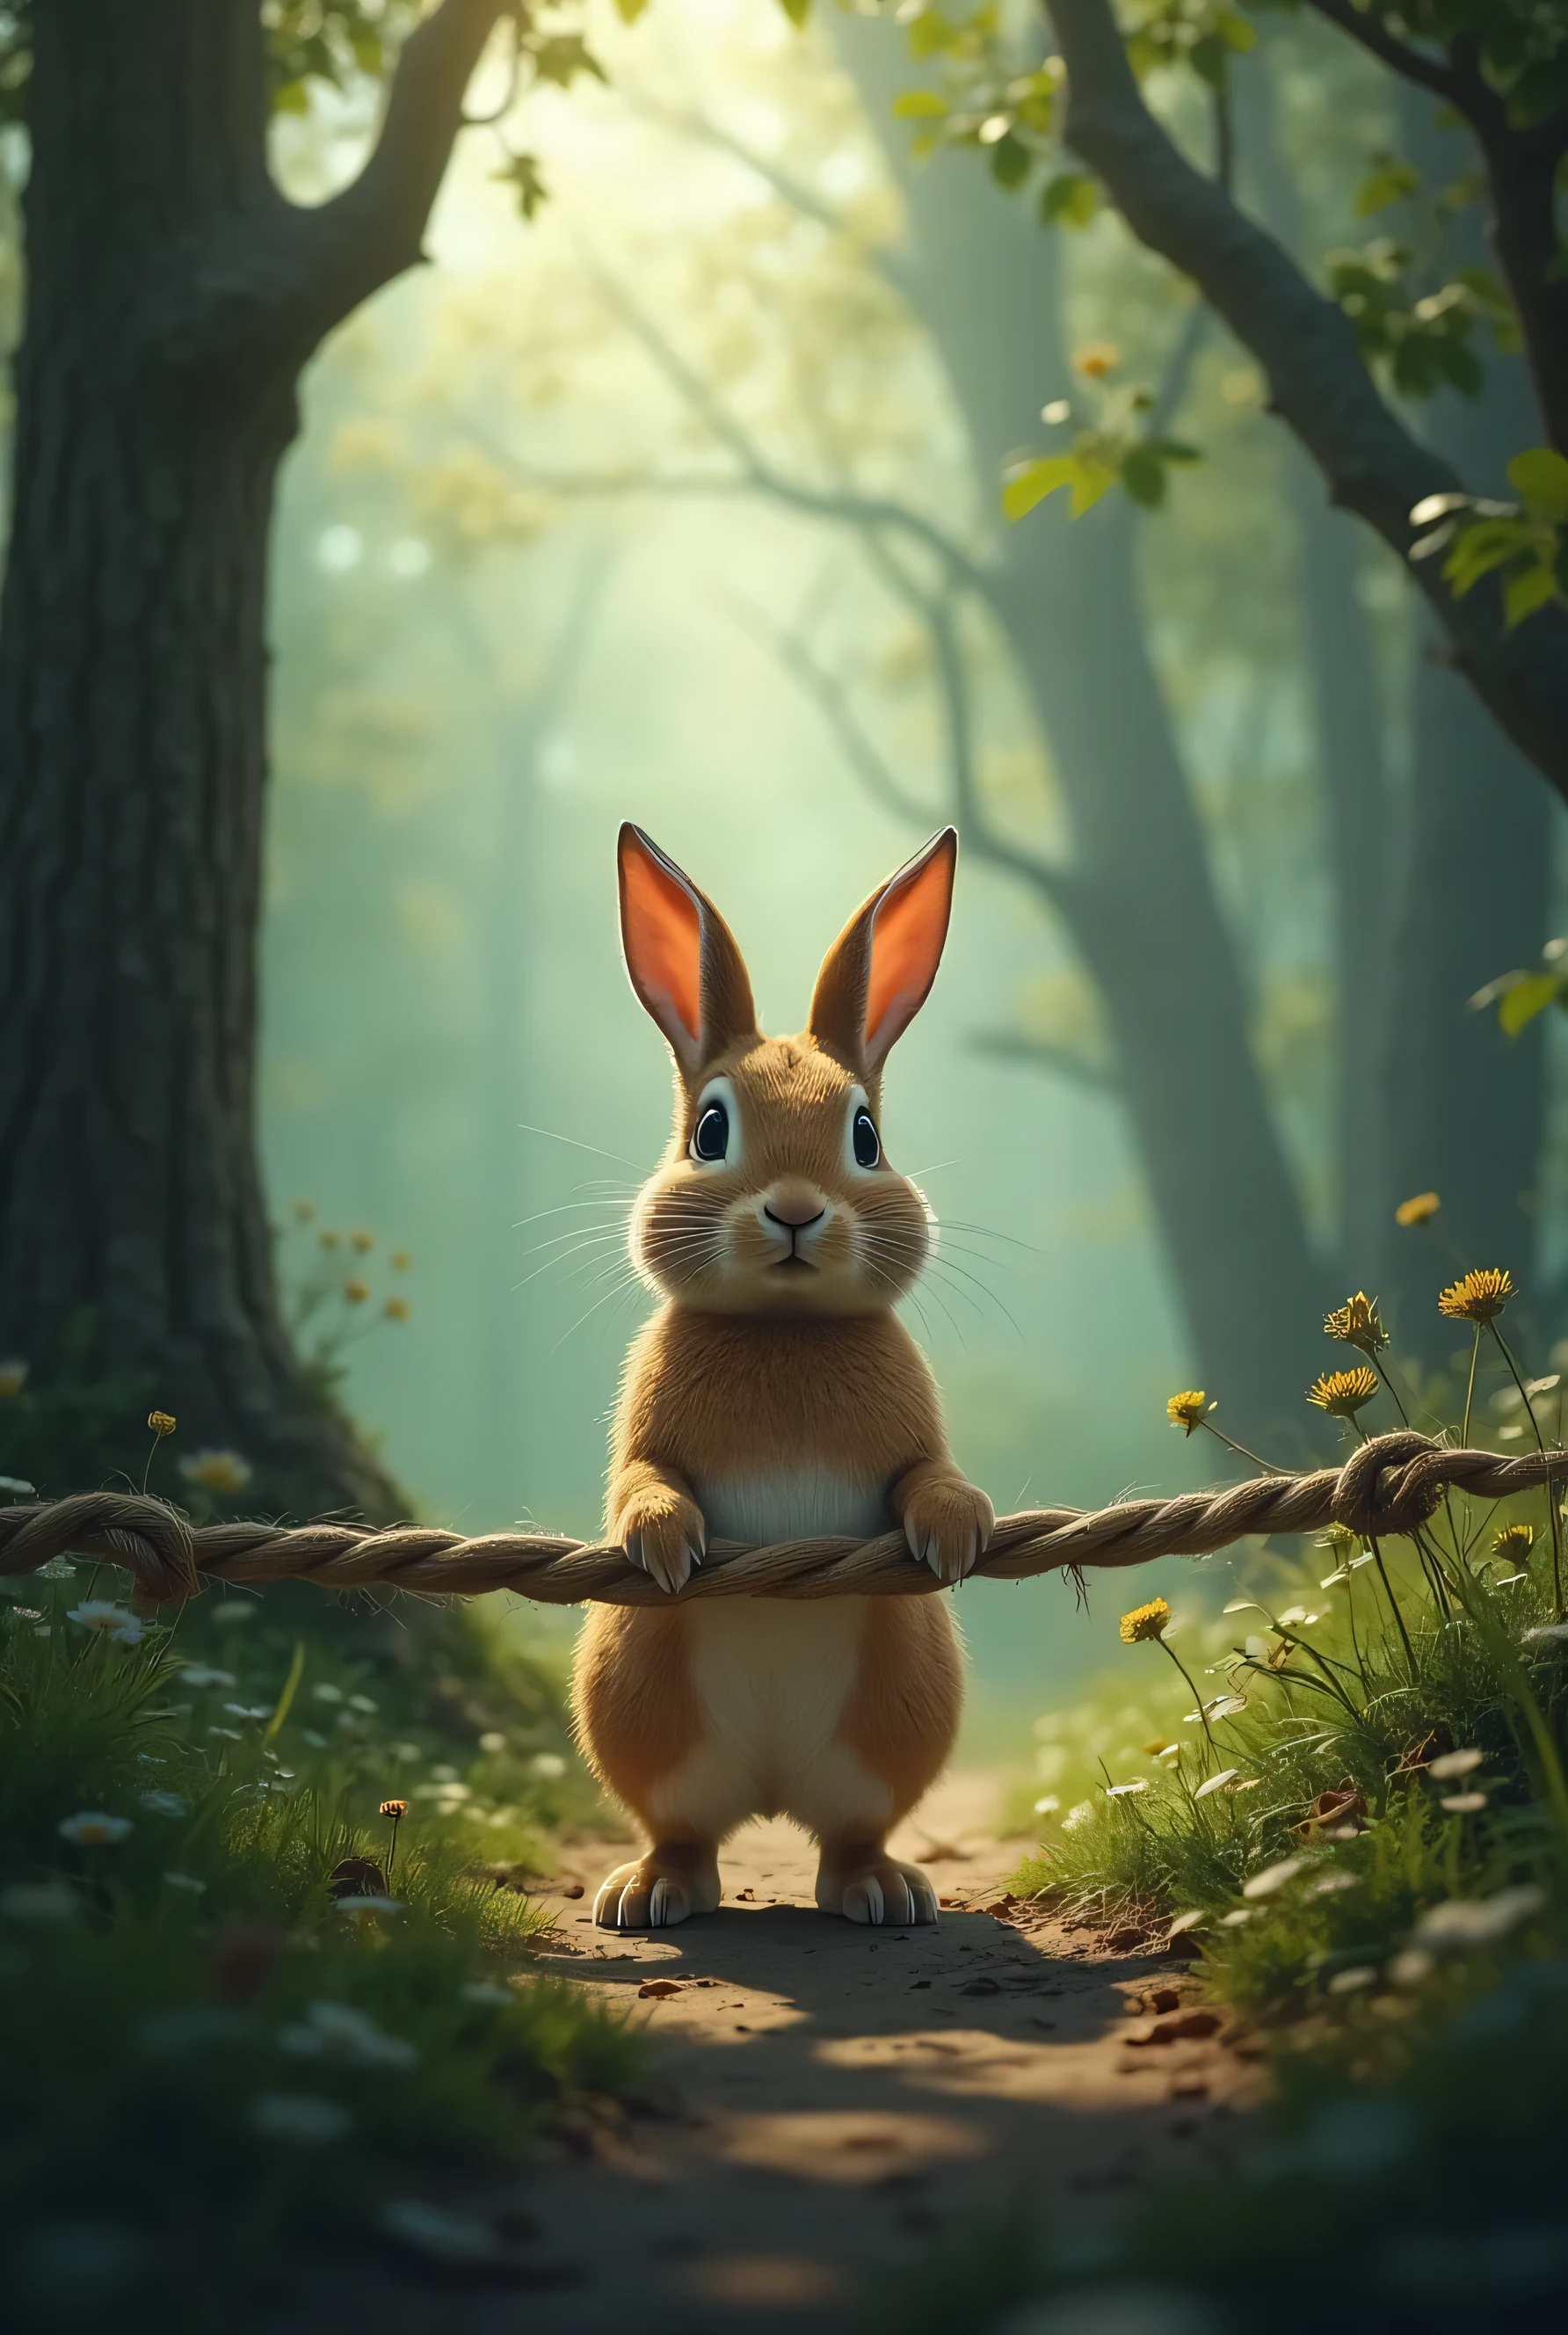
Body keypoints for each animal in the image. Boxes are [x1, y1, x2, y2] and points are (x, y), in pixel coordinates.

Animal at [572, 822, 994, 1930]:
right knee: (683, 1830)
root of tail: (767, 1791)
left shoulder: (915, 1439)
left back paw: (882, 1892)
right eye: (710, 1131)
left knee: (850, 1834)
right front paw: (662, 1541)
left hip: (892, 1716)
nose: (795, 1210)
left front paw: (955, 1531)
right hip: (640, 1705)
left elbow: (931, 1474)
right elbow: (639, 1481)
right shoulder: (644, 1438)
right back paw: (648, 1894)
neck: (784, 1328)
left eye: (865, 1136)